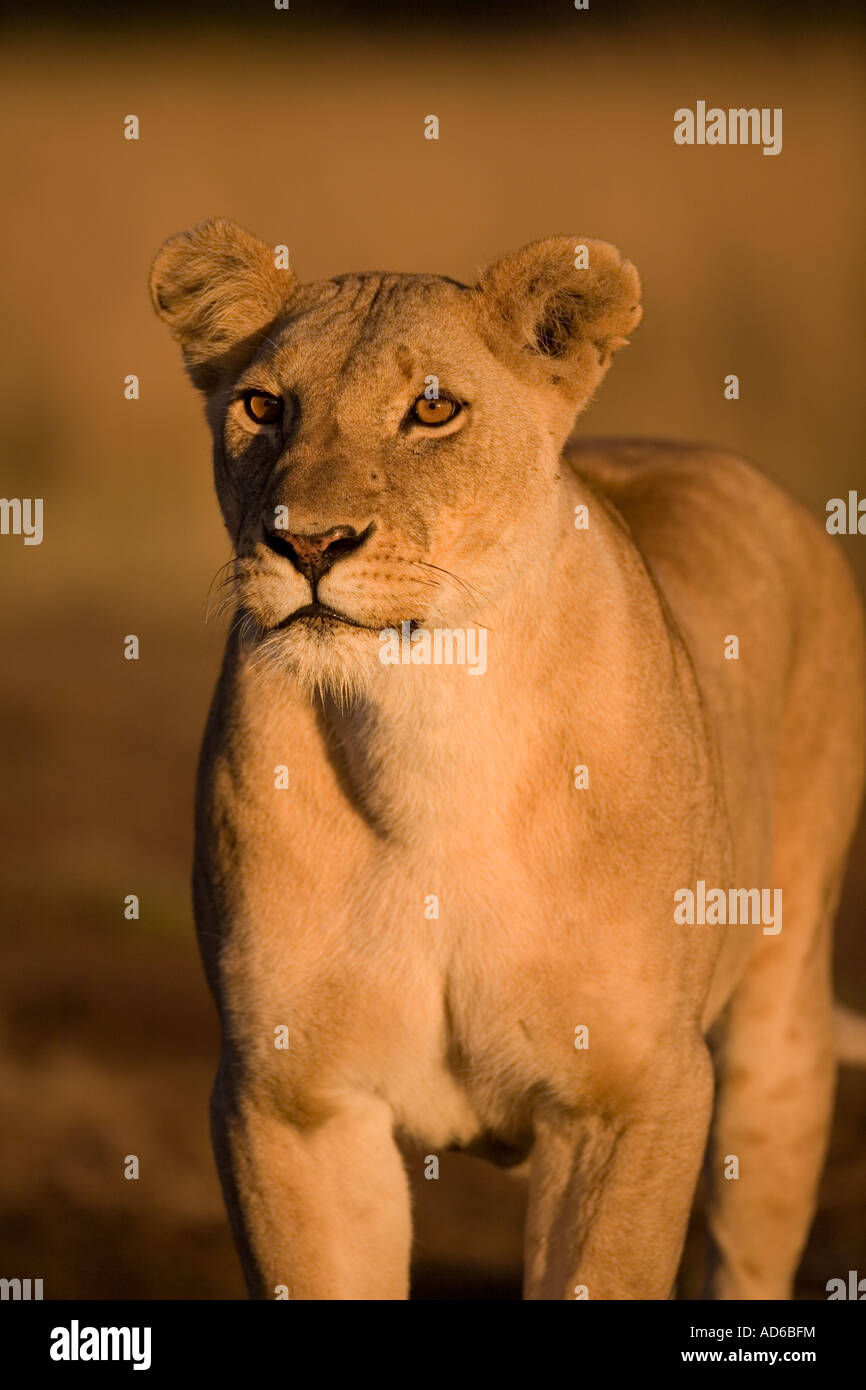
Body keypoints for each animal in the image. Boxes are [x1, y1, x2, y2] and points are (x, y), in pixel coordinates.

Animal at [151, 219, 866, 1300]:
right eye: (263, 406)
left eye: (433, 408)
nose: (306, 543)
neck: (426, 720)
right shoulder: (291, 1101)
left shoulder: (632, 1092)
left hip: (779, 1030)